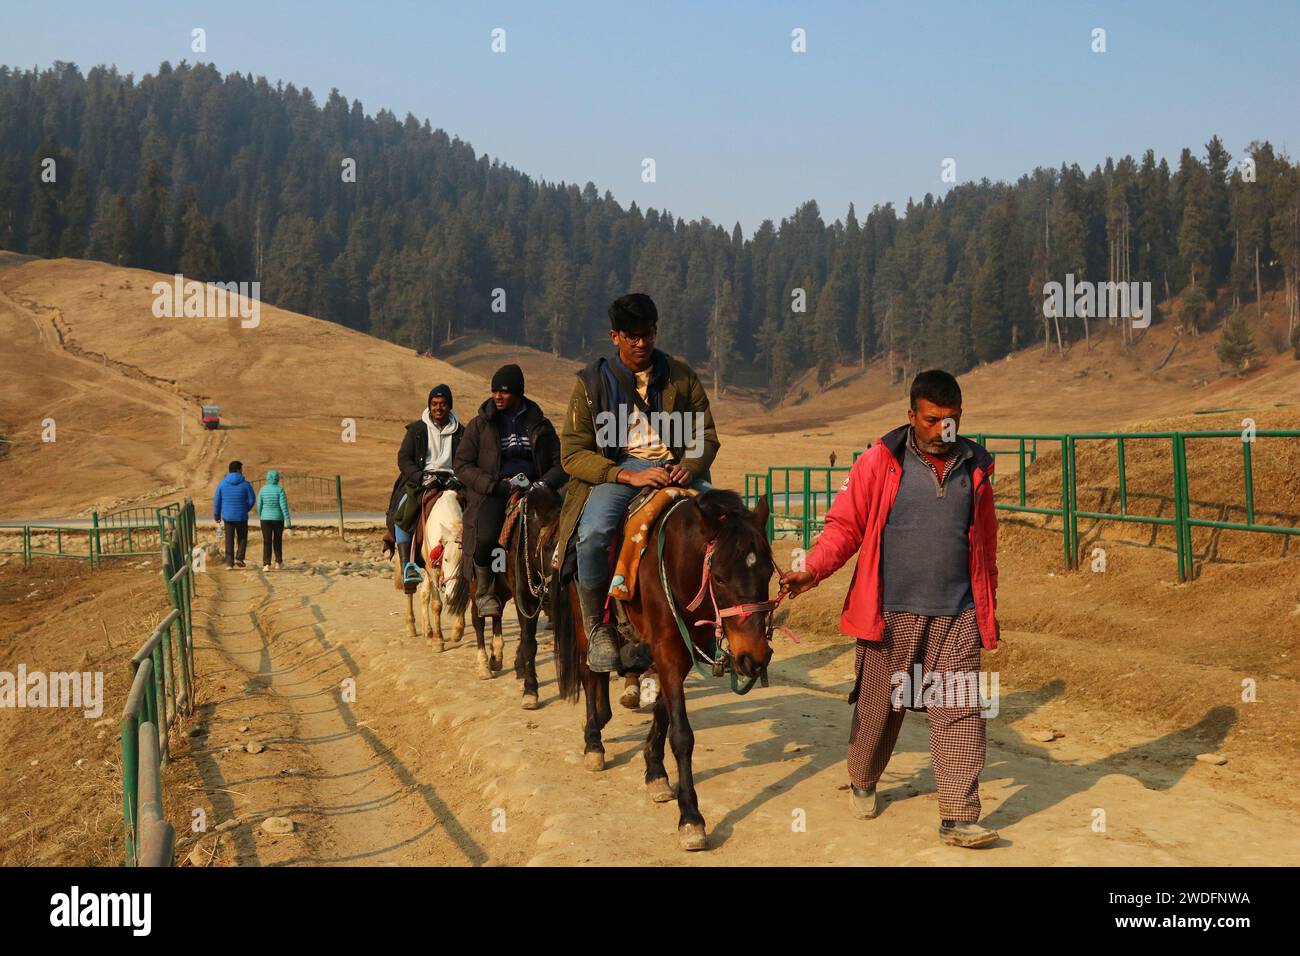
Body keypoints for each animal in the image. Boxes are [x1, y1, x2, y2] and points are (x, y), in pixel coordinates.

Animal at [392, 494, 470, 650]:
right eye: (445, 559)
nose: (451, 598)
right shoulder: (433, 570)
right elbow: (436, 605)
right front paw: (438, 640)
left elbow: (465, 597)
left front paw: (457, 631)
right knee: (411, 590)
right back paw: (412, 626)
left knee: (424, 594)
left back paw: (427, 632)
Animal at [454, 481, 561, 707]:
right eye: (548, 545)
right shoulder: (525, 599)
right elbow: (529, 642)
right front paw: (530, 690)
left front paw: (521, 671)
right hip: (476, 588)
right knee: (479, 619)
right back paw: (484, 665)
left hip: (502, 590)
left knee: (496, 613)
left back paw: (497, 655)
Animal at [553, 489, 774, 848]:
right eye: (720, 577)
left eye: (768, 573)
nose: (754, 656)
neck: (678, 562)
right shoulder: (668, 650)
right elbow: (681, 734)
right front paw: (691, 818)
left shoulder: (680, 653)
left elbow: (663, 711)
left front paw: (655, 772)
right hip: (582, 619)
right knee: (591, 674)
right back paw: (593, 742)